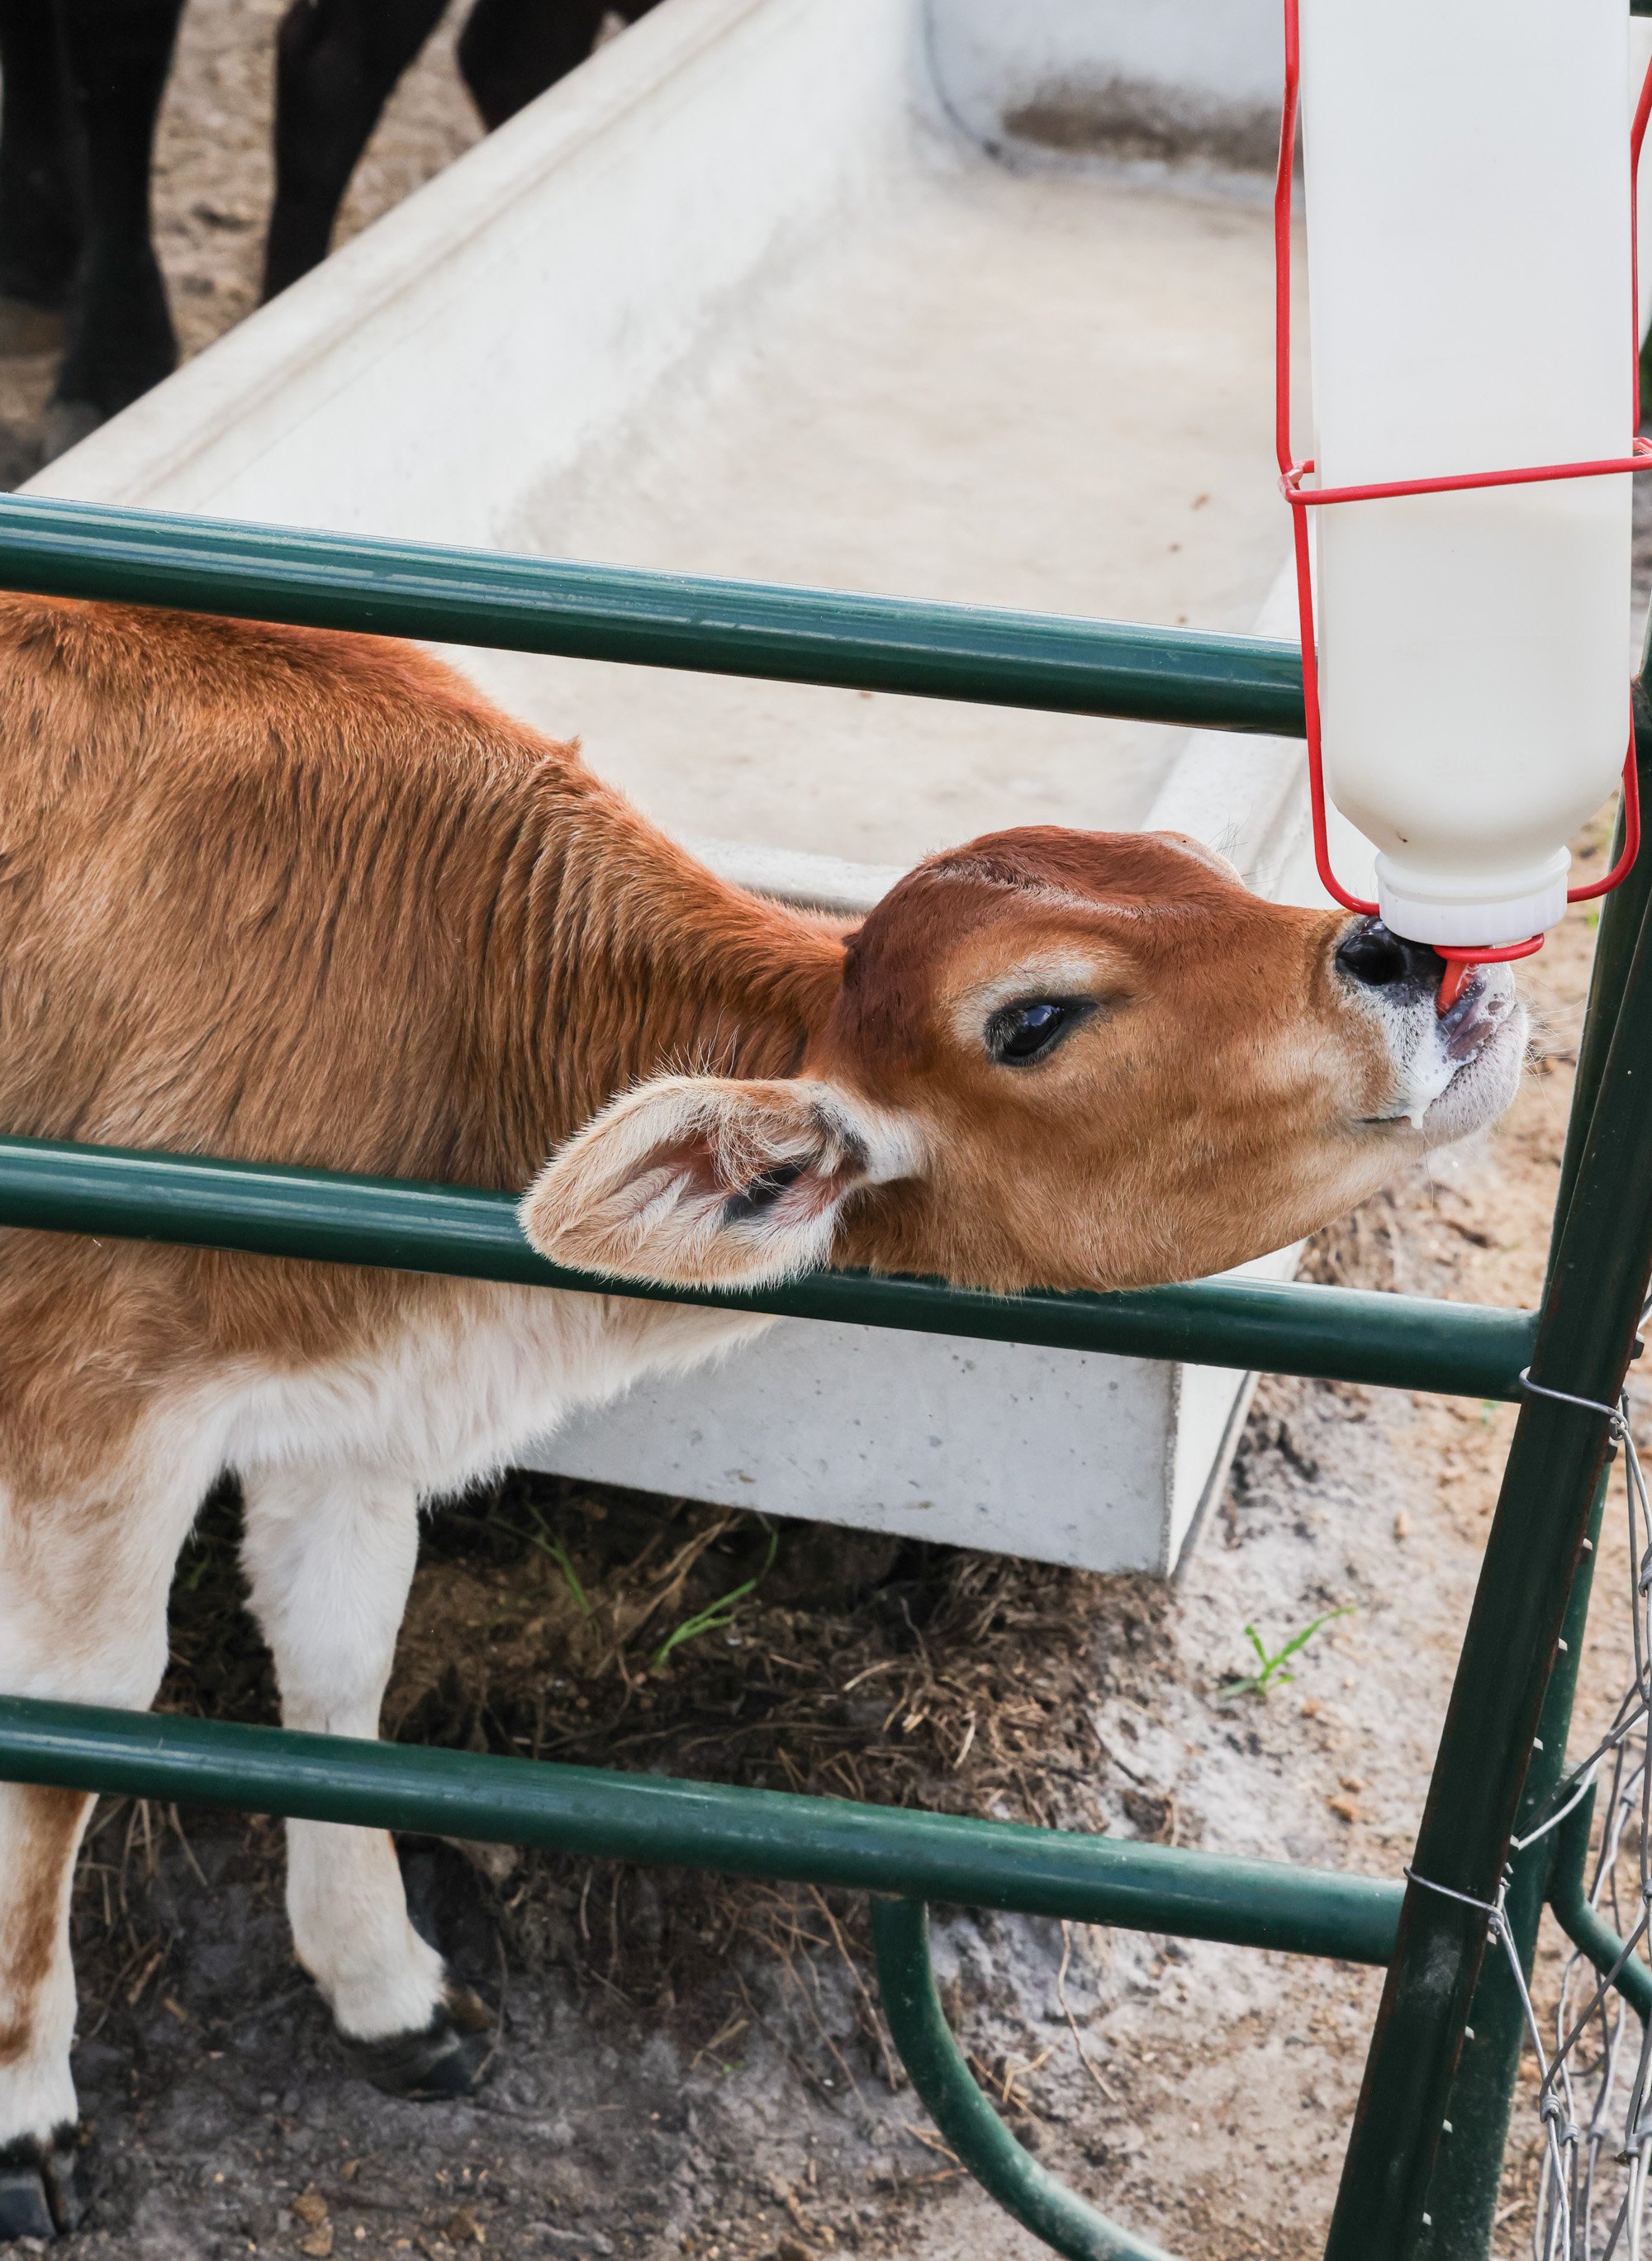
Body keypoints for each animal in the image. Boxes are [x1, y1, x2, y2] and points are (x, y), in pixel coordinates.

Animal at [0, 593, 1525, 2238]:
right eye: (1034, 1015)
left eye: (1196, 871)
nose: (1403, 947)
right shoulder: (88, 1409)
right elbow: (77, 1725)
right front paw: (25, 2112)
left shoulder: (344, 1415)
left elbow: (340, 1667)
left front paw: (391, 1988)